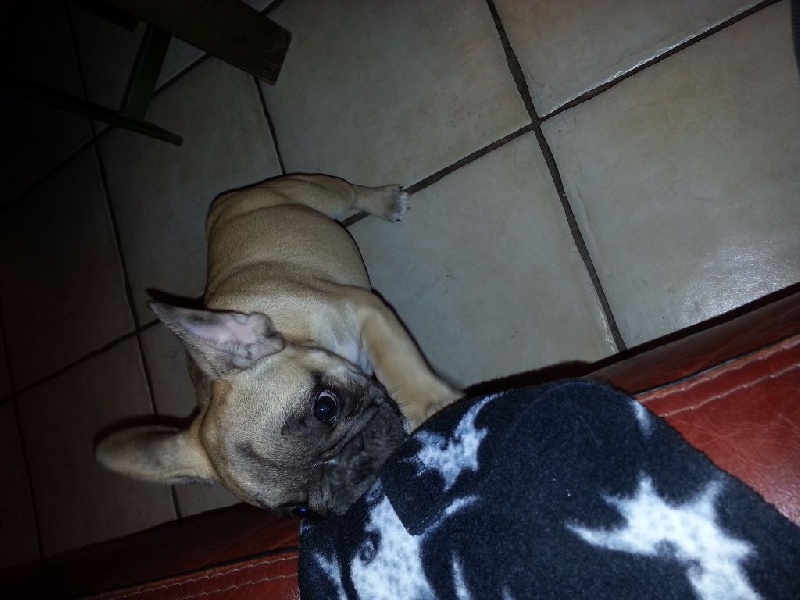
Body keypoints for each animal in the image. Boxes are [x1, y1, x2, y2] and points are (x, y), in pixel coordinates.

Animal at [96, 175, 460, 517]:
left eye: (325, 407)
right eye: (298, 509)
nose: (352, 469)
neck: (292, 332)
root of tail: (226, 202)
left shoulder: (365, 311)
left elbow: (400, 368)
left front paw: (434, 409)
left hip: (320, 194)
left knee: (351, 193)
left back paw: (385, 201)